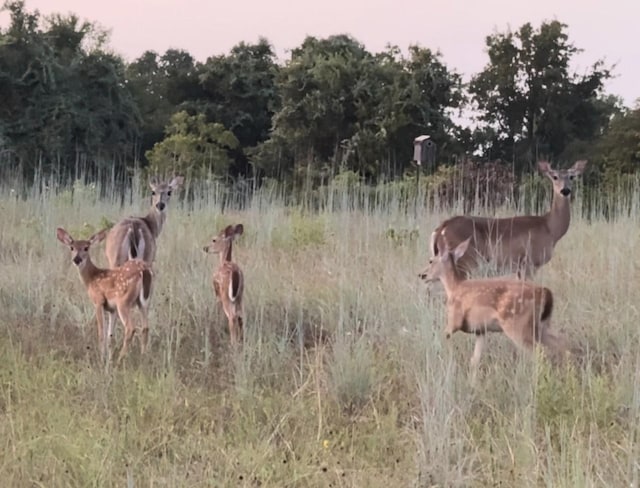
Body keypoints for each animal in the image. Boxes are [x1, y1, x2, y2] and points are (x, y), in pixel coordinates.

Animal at [56, 227, 154, 364]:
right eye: (72, 247)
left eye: (86, 248)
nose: (77, 259)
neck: (92, 278)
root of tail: (144, 270)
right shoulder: (112, 309)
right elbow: (110, 335)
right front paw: (108, 359)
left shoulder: (98, 301)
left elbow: (101, 332)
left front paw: (102, 358)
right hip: (145, 301)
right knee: (145, 327)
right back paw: (143, 357)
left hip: (123, 301)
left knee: (130, 328)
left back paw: (121, 359)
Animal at [420, 238, 564, 372]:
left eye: (431, 260)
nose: (422, 275)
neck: (454, 288)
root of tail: (545, 292)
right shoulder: (480, 330)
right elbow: (475, 359)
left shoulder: (454, 321)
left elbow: (443, 337)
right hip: (542, 325)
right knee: (561, 345)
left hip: (517, 324)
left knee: (540, 352)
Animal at [430, 160, 592, 278]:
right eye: (554, 177)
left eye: (572, 177)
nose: (565, 190)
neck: (550, 228)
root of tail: (441, 229)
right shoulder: (529, 262)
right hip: (465, 260)